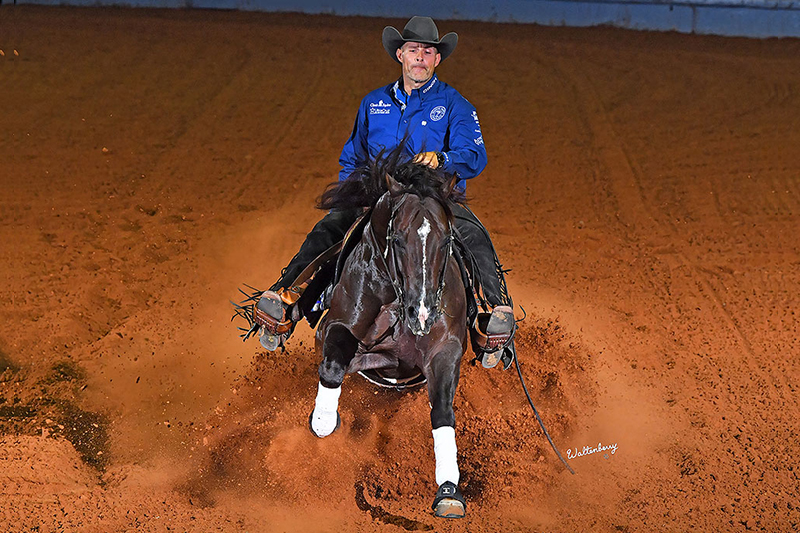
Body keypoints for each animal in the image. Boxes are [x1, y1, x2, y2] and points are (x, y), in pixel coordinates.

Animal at [306, 152, 468, 516]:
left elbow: (442, 411)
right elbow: (334, 368)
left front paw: (448, 490)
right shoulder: (336, 328)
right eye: (398, 240)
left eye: (446, 239)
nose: (422, 313)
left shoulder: (446, 349)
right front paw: (324, 421)